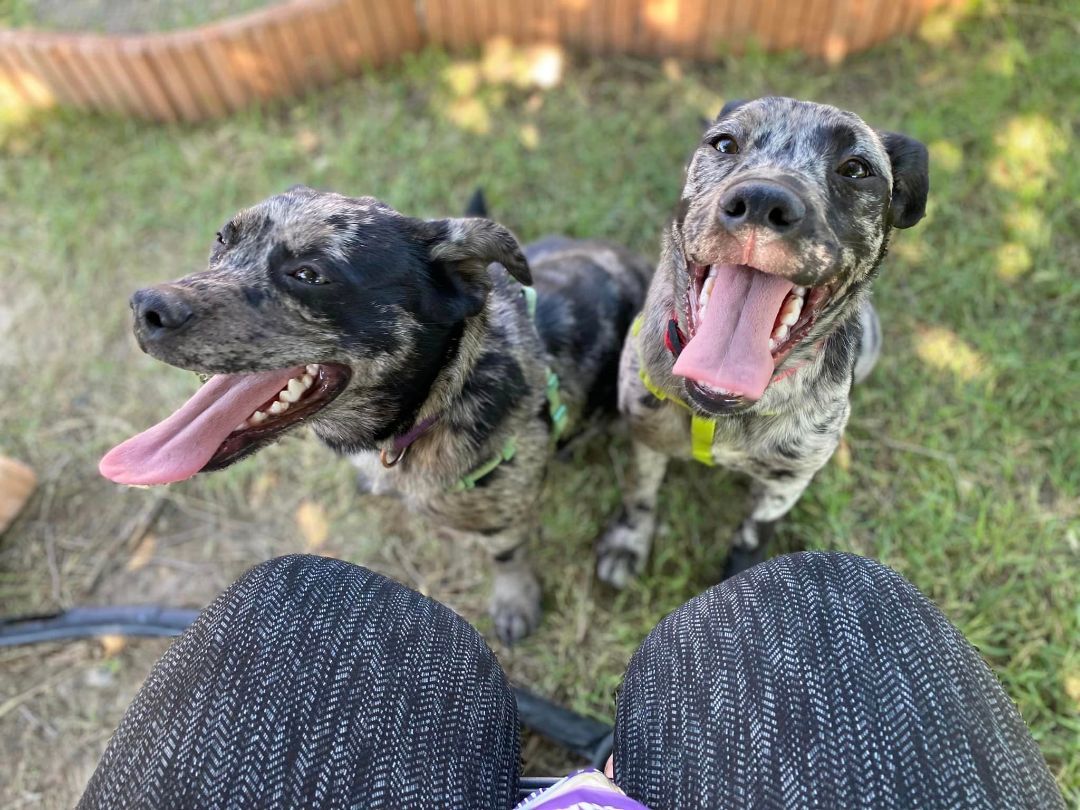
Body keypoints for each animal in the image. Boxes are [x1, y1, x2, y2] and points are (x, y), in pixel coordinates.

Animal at [101, 186, 648, 643]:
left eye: (310, 274)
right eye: (222, 239)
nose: (145, 308)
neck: (431, 409)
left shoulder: (505, 517)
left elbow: (507, 556)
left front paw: (514, 600)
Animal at [600, 98, 928, 587]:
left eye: (855, 168)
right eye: (724, 143)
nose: (762, 200)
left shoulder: (786, 481)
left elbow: (754, 532)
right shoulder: (646, 434)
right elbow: (640, 494)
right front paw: (628, 540)